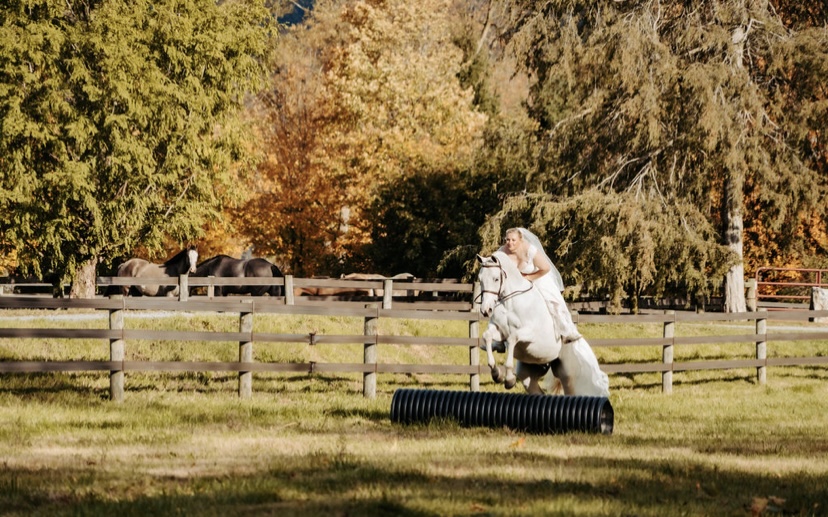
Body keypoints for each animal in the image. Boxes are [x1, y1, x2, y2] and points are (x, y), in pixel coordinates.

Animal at [478, 252, 608, 398]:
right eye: (480, 279)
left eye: (495, 279)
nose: (486, 310)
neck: (509, 303)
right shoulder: (500, 330)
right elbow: (487, 336)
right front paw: (497, 374)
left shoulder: (530, 333)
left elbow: (512, 338)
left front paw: (509, 379)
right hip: (530, 370)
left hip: (567, 375)